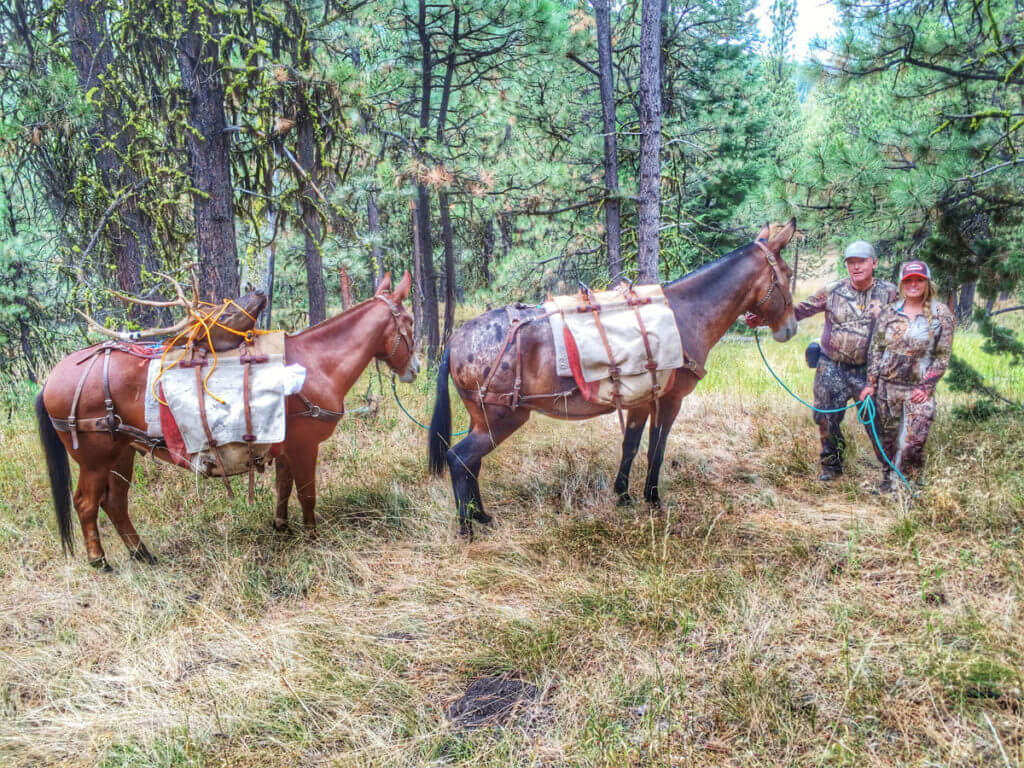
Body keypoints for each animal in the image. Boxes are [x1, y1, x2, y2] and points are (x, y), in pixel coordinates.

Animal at [37, 274, 415, 569]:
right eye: (410, 321)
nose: (415, 368)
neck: (316, 364)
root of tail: (53, 376)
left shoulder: (285, 447)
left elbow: (284, 487)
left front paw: (281, 526)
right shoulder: (305, 447)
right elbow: (307, 494)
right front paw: (312, 536)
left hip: (122, 453)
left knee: (115, 503)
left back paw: (142, 553)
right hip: (95, 458)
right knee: (86, 503)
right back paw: (99, 560)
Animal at [430, 221, 798, 536]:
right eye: (788, 274)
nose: (791, 328)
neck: (683, 315)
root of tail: (457, 338)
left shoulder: (641, 399)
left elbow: (631, 446)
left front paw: (623, 495)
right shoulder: (670, 400)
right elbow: (656, 450)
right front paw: (652, 498)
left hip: (482, 419)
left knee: (472, 464)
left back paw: (481, 515)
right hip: (501, 420)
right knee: (459, 458)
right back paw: (466, 528)